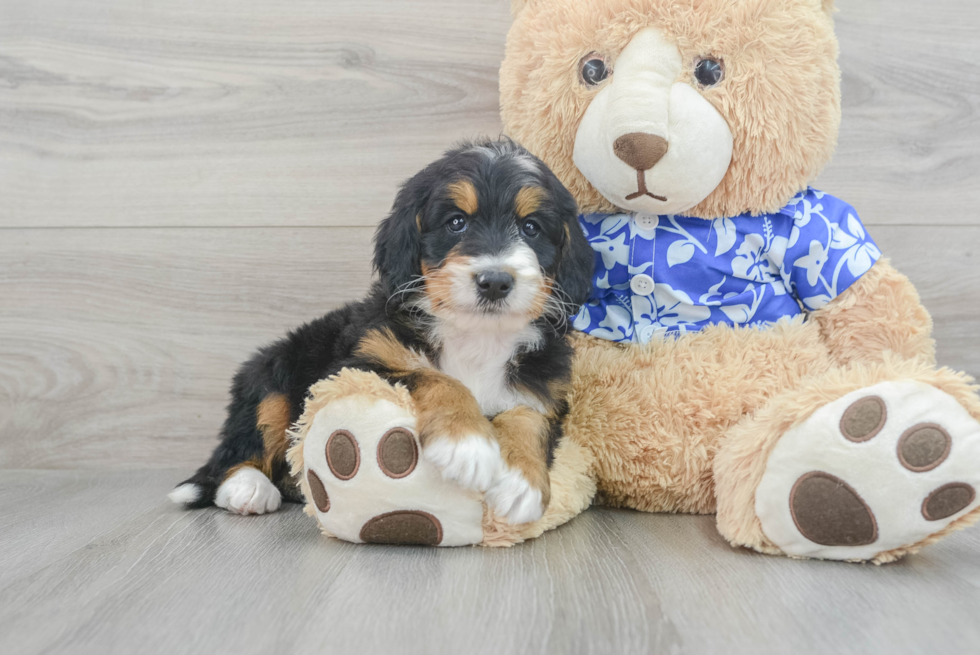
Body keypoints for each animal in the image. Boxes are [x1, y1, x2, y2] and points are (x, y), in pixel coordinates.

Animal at [168, 137, 592, 524]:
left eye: (531, 227)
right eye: (456, 222)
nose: (495, 281)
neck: (476, 336)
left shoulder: (545, 386)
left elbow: (528, 417)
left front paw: (522, 484)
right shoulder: (357, 364)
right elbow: (434, 376)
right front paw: (467, 444)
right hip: (270, 375)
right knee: (237, 449)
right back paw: (248, 488)